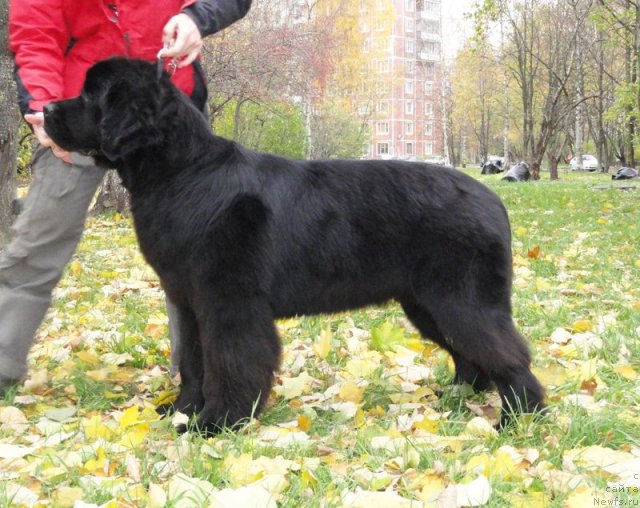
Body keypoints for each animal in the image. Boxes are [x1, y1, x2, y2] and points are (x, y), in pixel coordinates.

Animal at [43, 58, 544, 432]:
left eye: (90, 95)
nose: (45, 109)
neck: (182, 174)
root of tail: (493, 200)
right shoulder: (187, 300)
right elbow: (192, 360)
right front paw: (182, 412)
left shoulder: (230, 301)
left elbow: (230, 361)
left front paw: (217, 422)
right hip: (427, 303)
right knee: (470, 354)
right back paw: (457, 396)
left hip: (461, 299)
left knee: (508, 354)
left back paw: (518, 420)